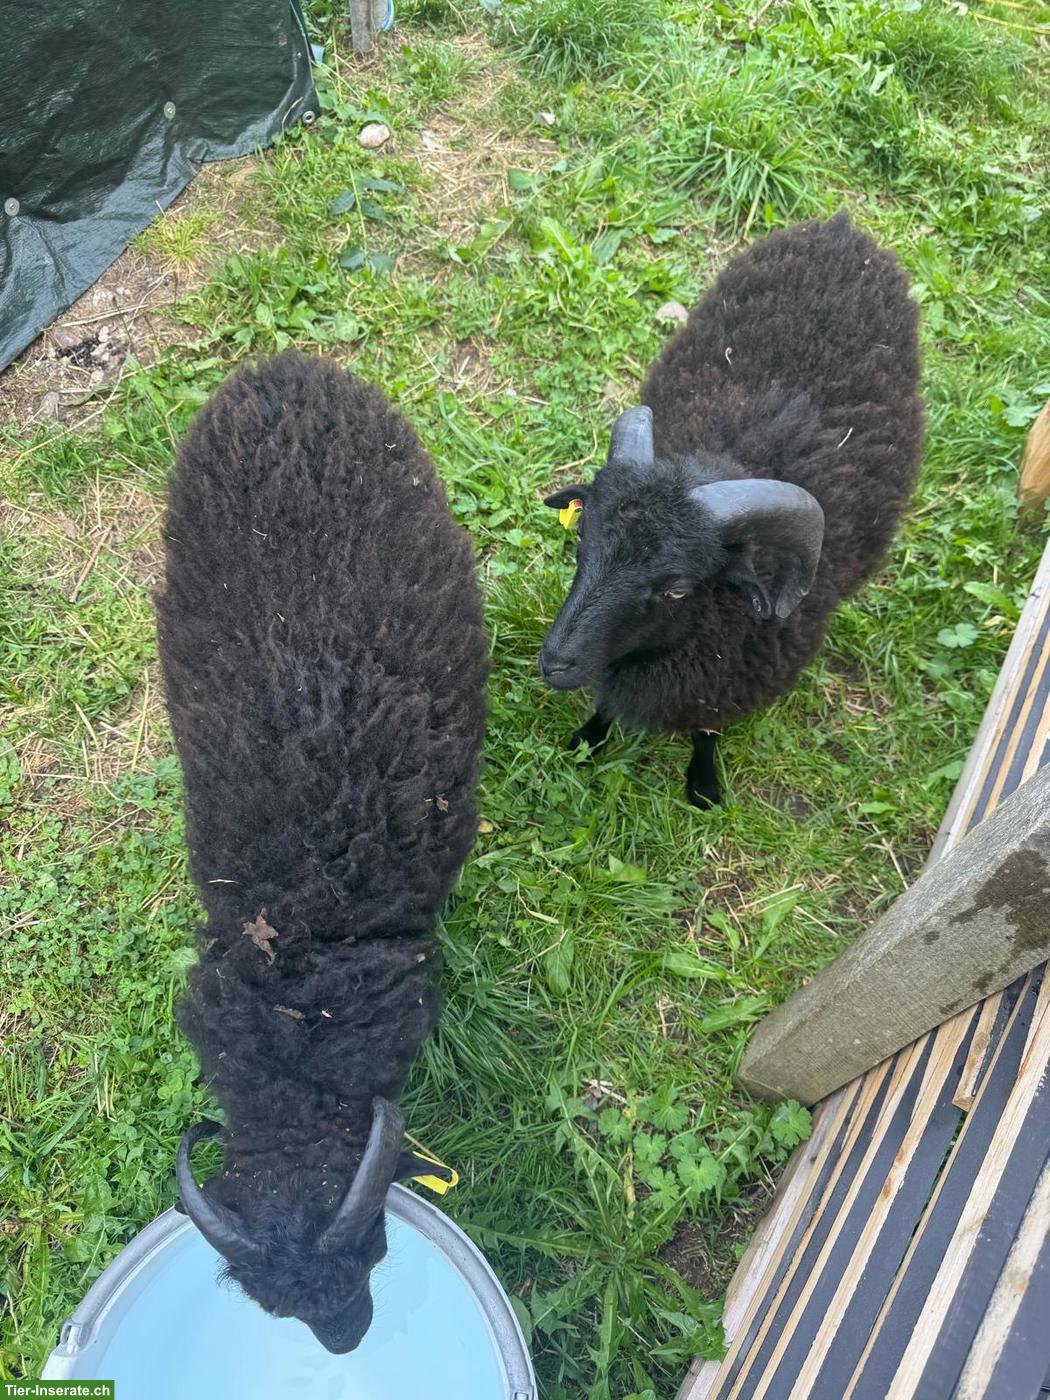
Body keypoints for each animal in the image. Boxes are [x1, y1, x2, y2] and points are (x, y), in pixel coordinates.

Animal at [539, 214, 922, 808]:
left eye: (677, 588)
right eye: (582, 542)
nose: (555, 662)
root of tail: (843, 229)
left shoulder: (727, 682)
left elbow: (707, 730)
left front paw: (703, 785)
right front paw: (588, 738)